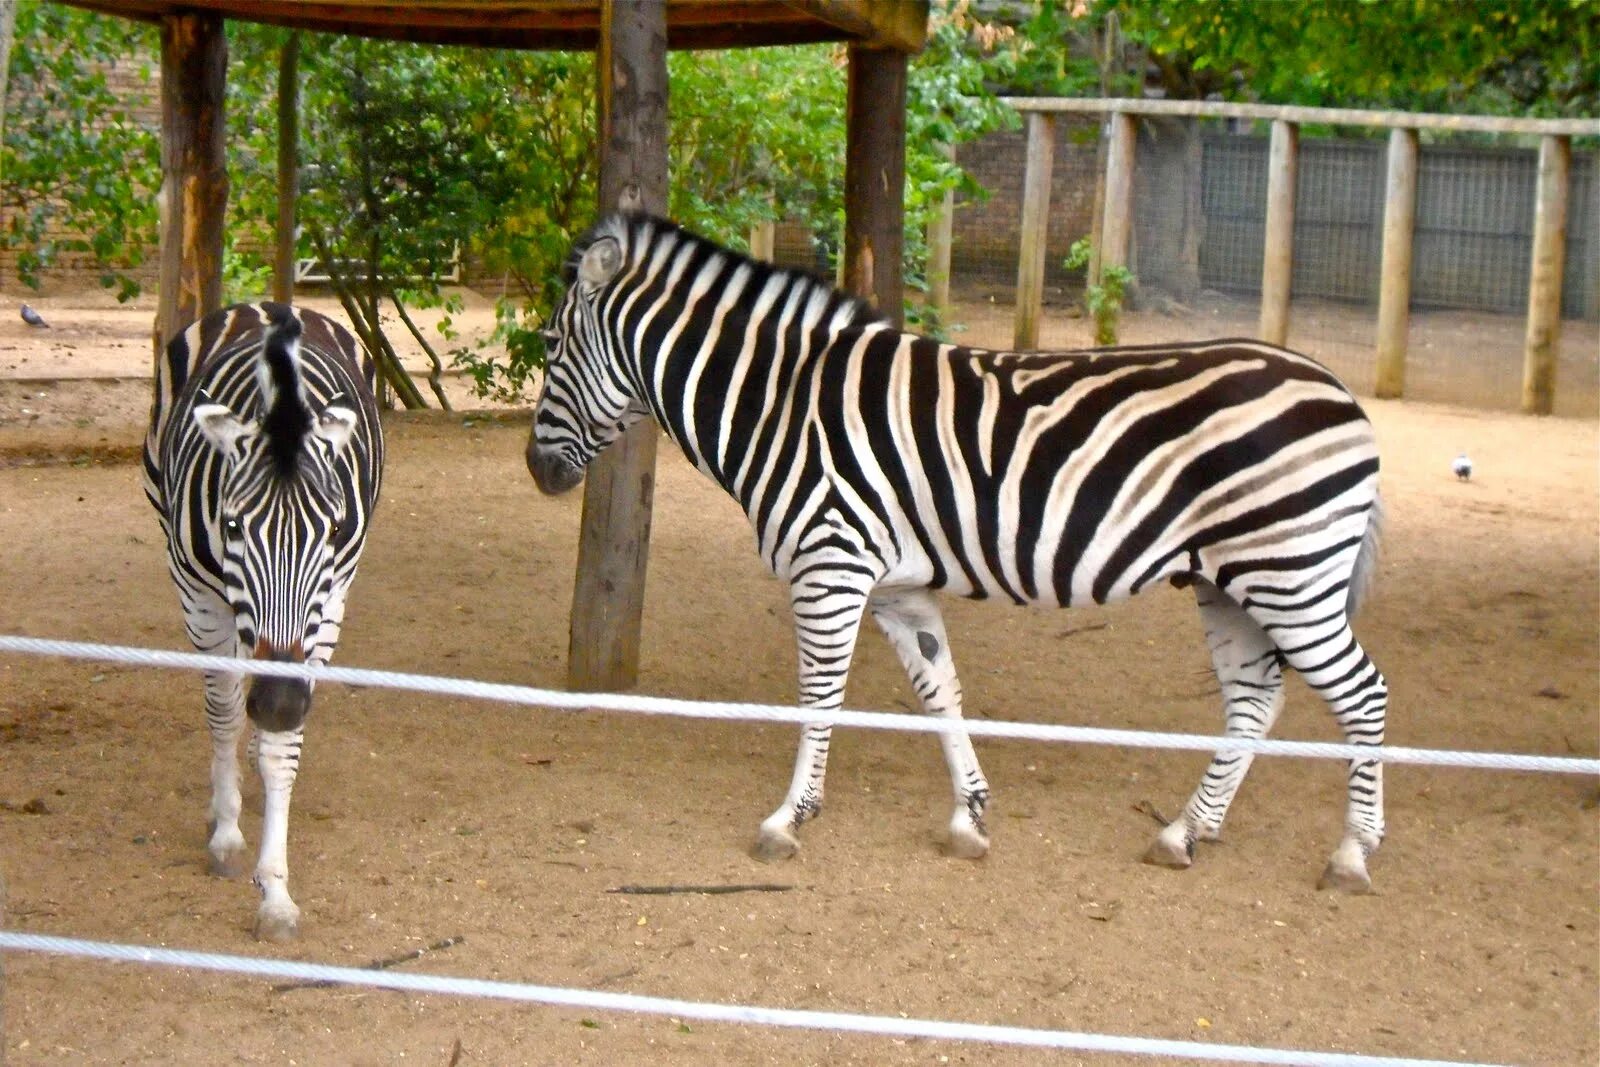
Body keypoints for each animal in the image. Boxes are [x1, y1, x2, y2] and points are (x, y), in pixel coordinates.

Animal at [142, 302, 382, 940]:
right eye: (231, 526)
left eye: (331, 529)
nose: (276, 704)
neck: (283, 400)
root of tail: (272, 305)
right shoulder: (199, 597)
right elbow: (223, 712)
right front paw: (227, 835)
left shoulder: (330, 605)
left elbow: (282, 749)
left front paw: (275, 891)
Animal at [524, 214, 1388, 895]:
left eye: (554, 345)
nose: (536, 471)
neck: (780, 404)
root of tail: (1340, 391)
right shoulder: (895, 585)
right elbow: (940, 691)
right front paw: (969, 814)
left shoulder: (829, 565)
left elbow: (820, 696)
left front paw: (788, 818)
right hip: (1230, 580)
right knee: (1254, 699)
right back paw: (1185, 830)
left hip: (1290, 573)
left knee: (1363, 693)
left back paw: (1351, 852)